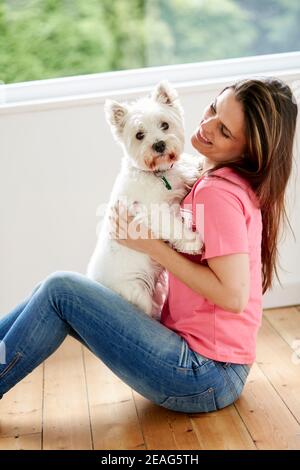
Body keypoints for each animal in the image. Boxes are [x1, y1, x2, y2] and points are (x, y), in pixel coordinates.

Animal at [86, 81, 204, 318]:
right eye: (139, 135)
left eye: (165, 125)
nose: (159, 145)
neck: (158, 174)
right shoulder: (153, 212)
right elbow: (173, 226)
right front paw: (192, 241)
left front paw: (195, 164)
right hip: (137, 291)